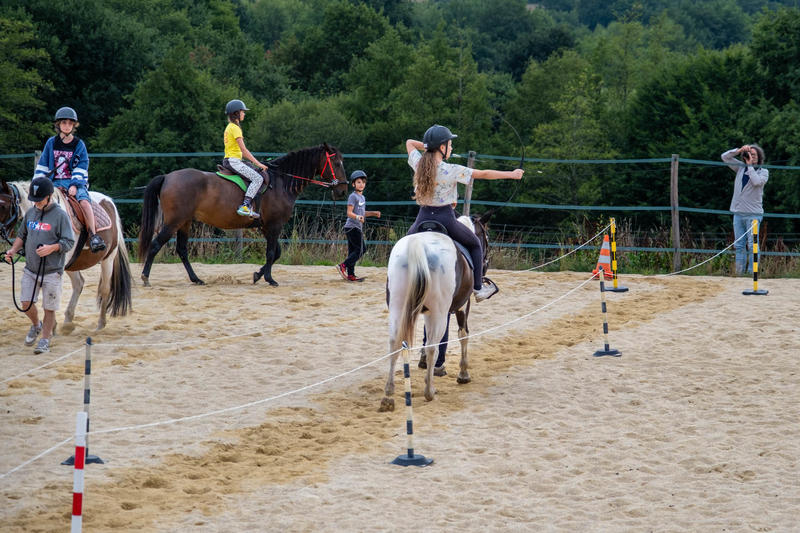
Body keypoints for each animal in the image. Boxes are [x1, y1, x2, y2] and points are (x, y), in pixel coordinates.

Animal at [139, 143, 348, 287]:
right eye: (337, 163)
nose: (343, 190)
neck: (281, 182)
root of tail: (168, 177)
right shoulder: (274, 225)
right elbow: (271, 252)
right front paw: (270, 279)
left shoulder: (265, 226)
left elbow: (276, 252)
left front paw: (257, 275)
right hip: (175, 221)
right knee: (156, 244)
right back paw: (146, 277)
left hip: (185, 222)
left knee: (182, 250)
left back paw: (196, 279)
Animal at [380, 212, 492, 411]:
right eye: (485, 237)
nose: (487, 262)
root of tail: (418, 245)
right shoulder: (461, 306)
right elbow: (462, 335)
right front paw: (463, 373)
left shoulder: (426, 312)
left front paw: (424, 362)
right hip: (438, 312)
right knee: (433, 345)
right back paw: (429, 390)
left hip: (398, 307)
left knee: (394, 343)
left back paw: (389, 395)